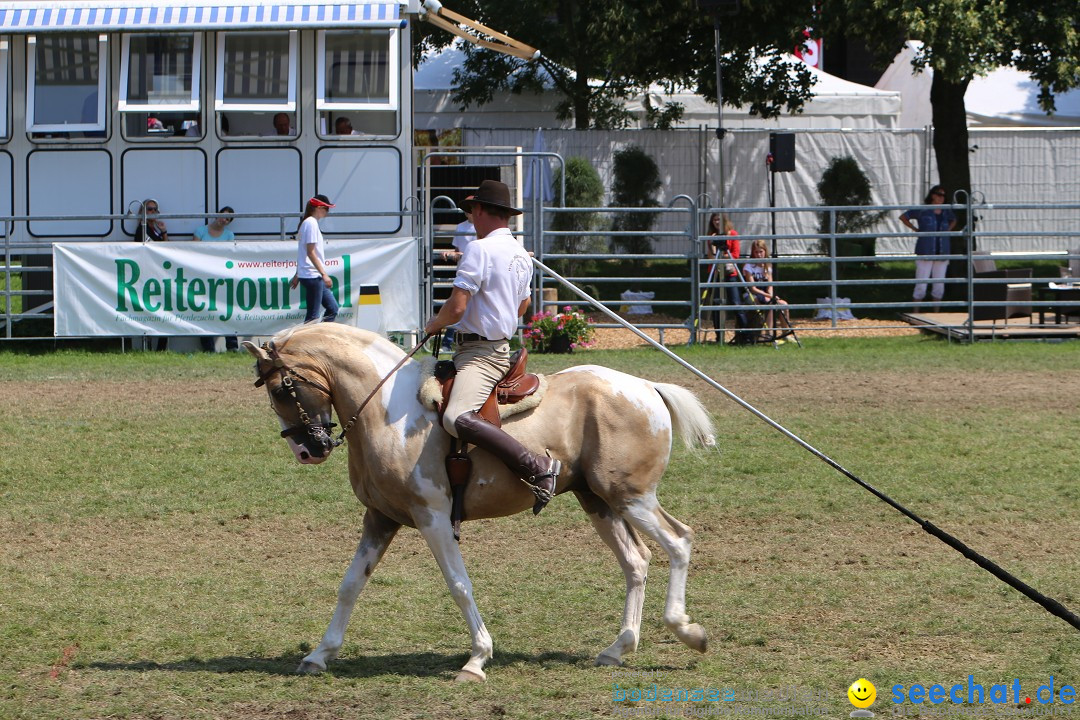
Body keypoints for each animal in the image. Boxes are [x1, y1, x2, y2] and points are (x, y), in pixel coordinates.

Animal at [245, 321, 717, 682]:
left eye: (281, 390)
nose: (308, 450)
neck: (386, 410)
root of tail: (646, 388)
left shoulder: (433, 518)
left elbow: (459, 585)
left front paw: (477, 659)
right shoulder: (379, 517)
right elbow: (350, 585)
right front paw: (319, 655)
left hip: (631, 497)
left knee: (679, 541)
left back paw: (686, 630)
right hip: (598, 501)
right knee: (636, 561)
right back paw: (618, 647)